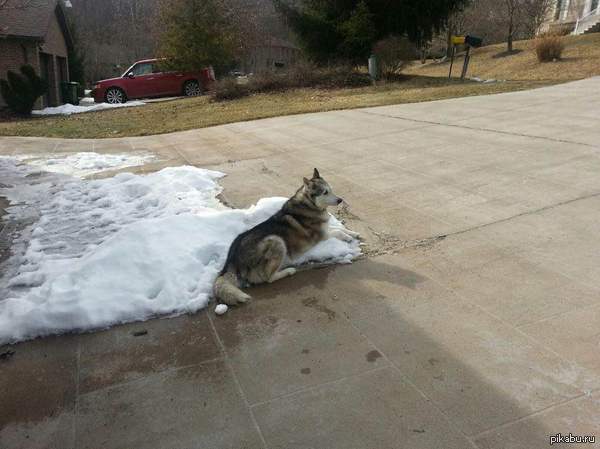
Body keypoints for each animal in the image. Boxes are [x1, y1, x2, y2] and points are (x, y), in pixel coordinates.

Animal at [213, 168, 358, 304]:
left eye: (331, 190)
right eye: (325, 192)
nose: (340, 200)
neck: (309, 204)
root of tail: (232, 261)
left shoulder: (325, 229)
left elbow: (339, 228)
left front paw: (354, 233)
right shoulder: (322, 235)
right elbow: (338, 232)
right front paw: (348, 238)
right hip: (277, 241)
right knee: (268, 278)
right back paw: (289, 271)